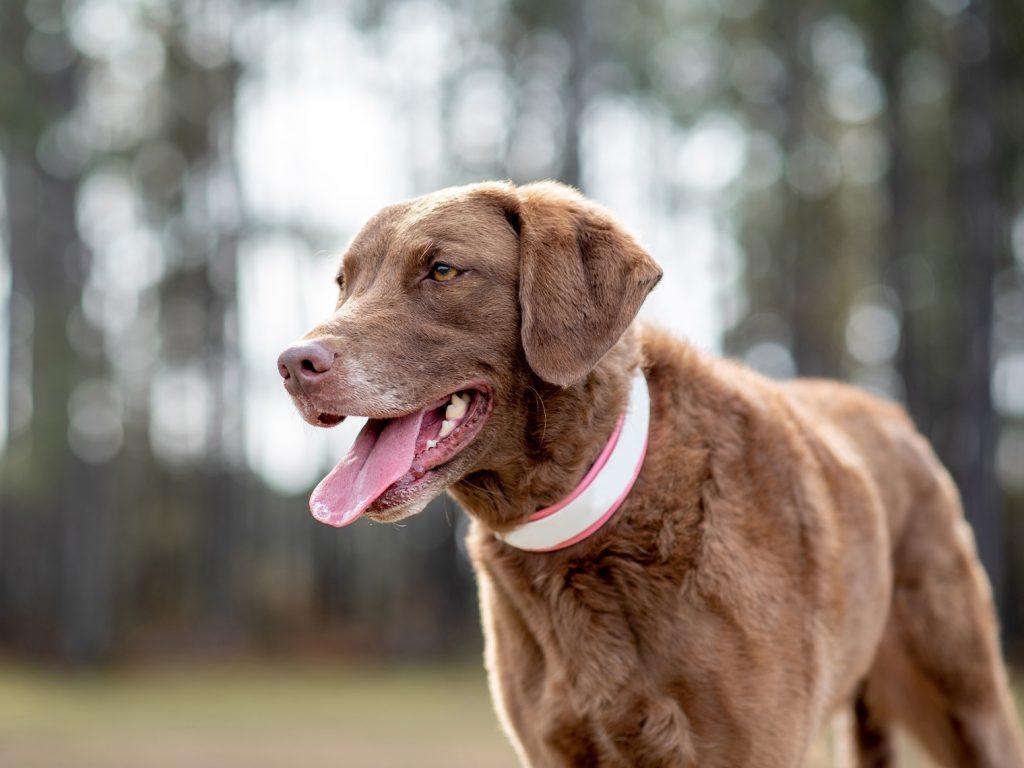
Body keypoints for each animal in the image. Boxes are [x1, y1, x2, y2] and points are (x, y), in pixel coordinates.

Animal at [278, 182, 1024, 768]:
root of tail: (891, 414)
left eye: (441, 270)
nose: (292, 363)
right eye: (344, 283)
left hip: (965, 693)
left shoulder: (745, 748)